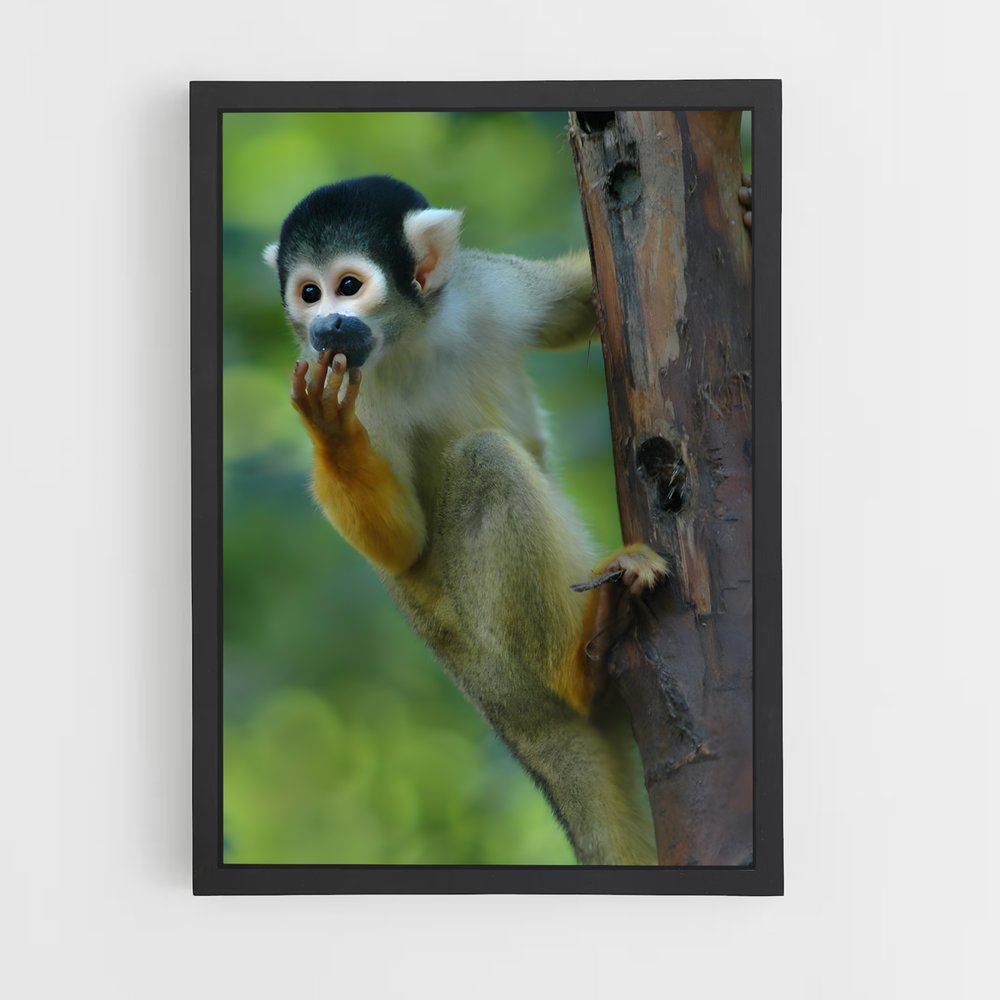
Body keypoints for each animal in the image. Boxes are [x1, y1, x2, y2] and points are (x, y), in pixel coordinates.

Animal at [263, 175, 667, 865]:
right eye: (308, 293)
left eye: (348, 286)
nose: (324, 326)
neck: (411, 337)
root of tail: (508, 720)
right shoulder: (357, 386)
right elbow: (402, 543)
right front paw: (333, 435)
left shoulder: (484, 289)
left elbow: (576, 305)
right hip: (489, 655)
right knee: (485, 462)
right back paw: (584, 666)